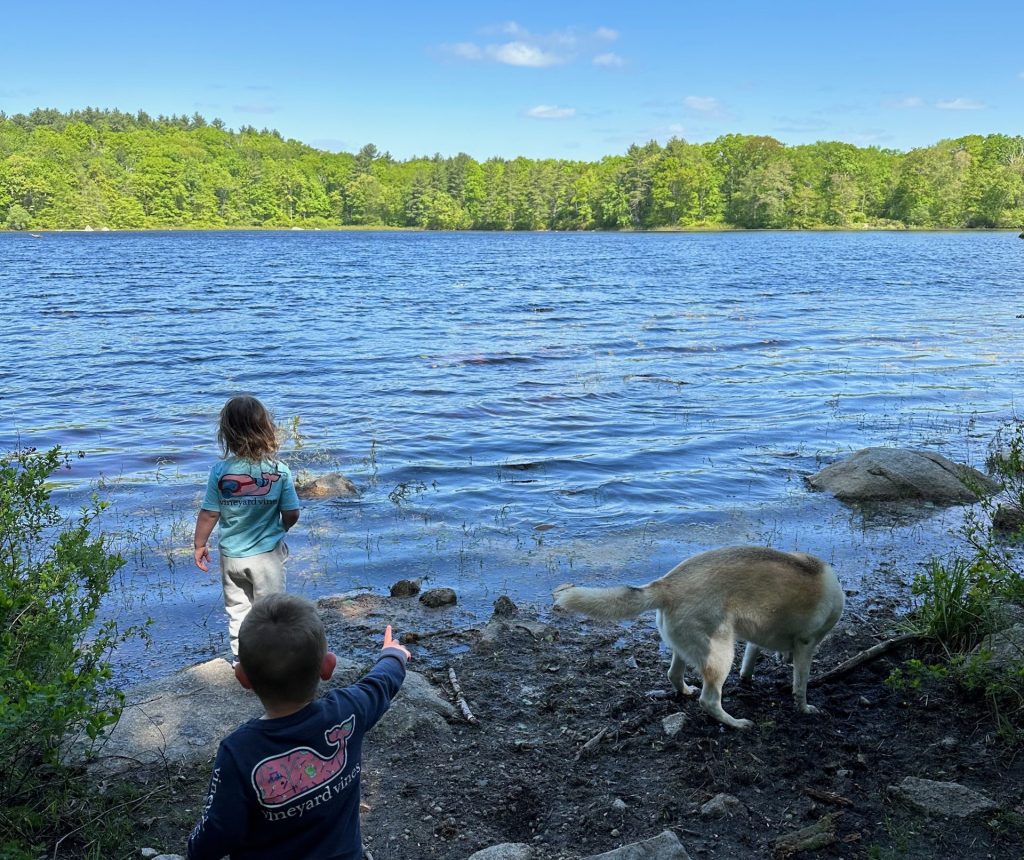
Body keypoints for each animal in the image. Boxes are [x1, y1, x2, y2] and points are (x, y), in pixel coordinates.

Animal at [557, 548, 843, 728]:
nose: (783, 658)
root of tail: (666, 586)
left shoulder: (759, 637)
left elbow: (751, 658)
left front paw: (748, 677)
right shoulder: (807, 645)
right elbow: (801, 685)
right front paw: (804, 708)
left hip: (686, 647)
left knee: (674, 674)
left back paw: (685, 691)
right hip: (720, 655)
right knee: (709, 701)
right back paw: (736, 724)